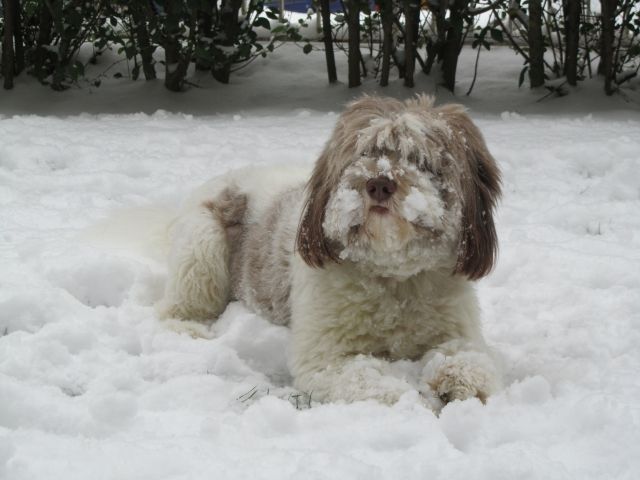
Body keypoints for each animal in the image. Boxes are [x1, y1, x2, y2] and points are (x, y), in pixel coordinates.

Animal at [158, 95, 502, 406]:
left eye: (421, 160)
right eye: (363, 153)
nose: (379, 183)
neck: (394, 278)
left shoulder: (458, 330)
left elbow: (472, 359)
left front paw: (458, 380)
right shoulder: (326, 357)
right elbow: (366, 380)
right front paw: (412, 400)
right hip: (202, 248)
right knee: (177, 308)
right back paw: (190, 328)